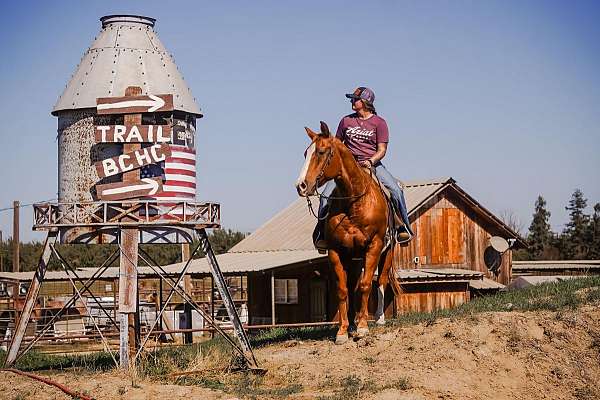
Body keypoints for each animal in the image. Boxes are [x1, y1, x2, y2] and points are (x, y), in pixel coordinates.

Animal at [296, 121, 398, 344]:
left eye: (321, 152)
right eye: (305, 153)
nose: (301, 186)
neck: (354, 202)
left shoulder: (374, 246)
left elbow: (366, 285)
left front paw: (363, 327)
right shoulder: (336, 251)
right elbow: (343, 290)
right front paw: (343, 330)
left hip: (387, 252)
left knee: (381, 280)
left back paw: (378, 318)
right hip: (354, 258)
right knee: (352, 286)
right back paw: (351, 323)